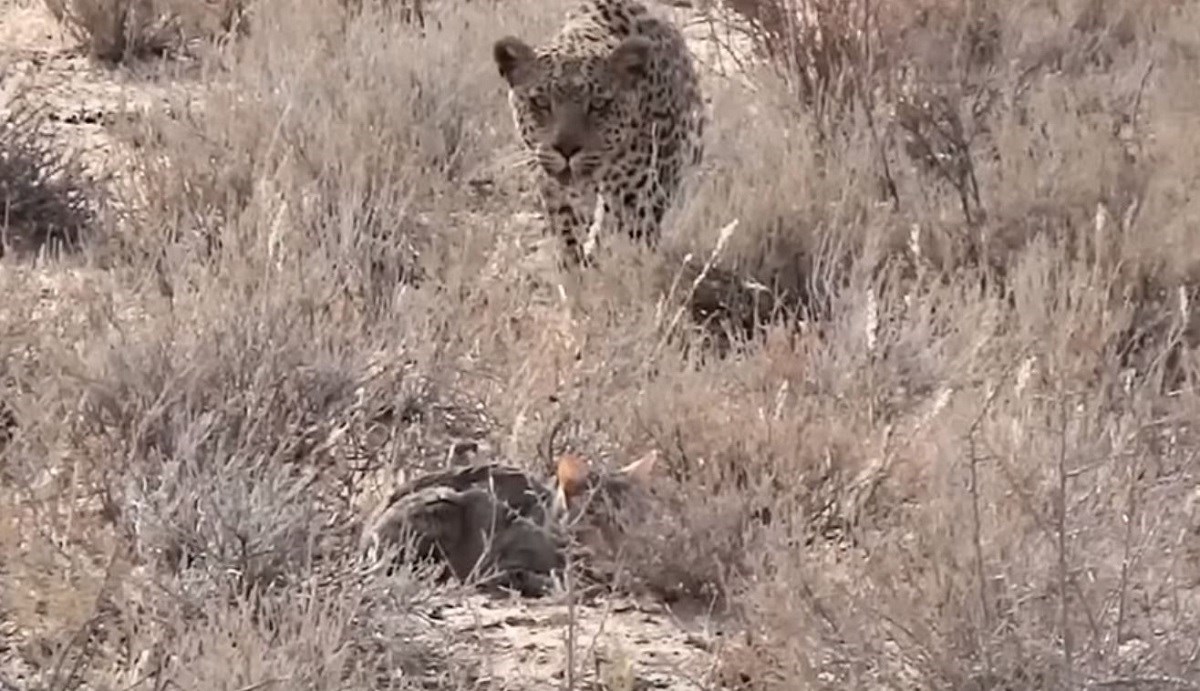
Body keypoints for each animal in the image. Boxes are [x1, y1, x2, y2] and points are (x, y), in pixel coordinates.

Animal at [492, 0, 705, 263]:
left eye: (598, 104)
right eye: (540, 102)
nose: (566, 149)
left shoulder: (644, 188)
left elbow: (625, 233)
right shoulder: (553, 187)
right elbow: (567, 229)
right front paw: (575, 264)